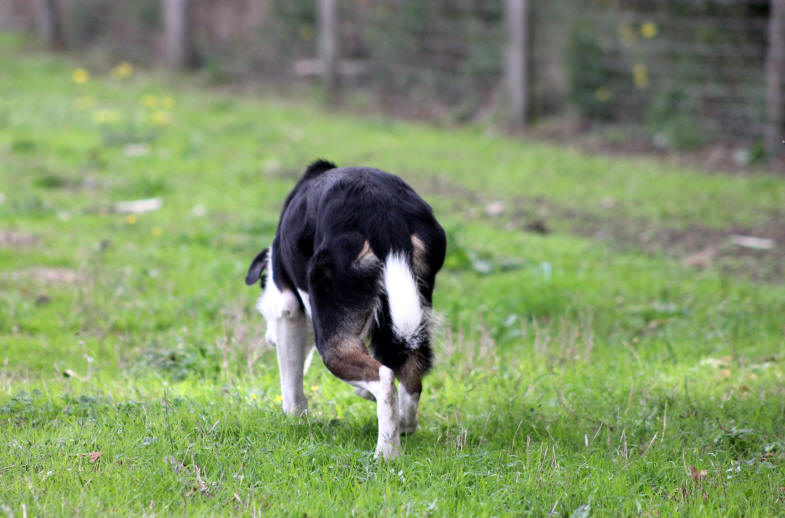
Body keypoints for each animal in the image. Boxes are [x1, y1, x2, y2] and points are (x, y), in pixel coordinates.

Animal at [245, 160, 444, 462]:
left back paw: (386, 454)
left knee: (384, 377)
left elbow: (291, 378)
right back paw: (404, 427)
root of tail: (383, 214)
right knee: (410, 373)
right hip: (410, 308)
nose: (269, 340)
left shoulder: (288, 309)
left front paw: (295, 417)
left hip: (331, 335)